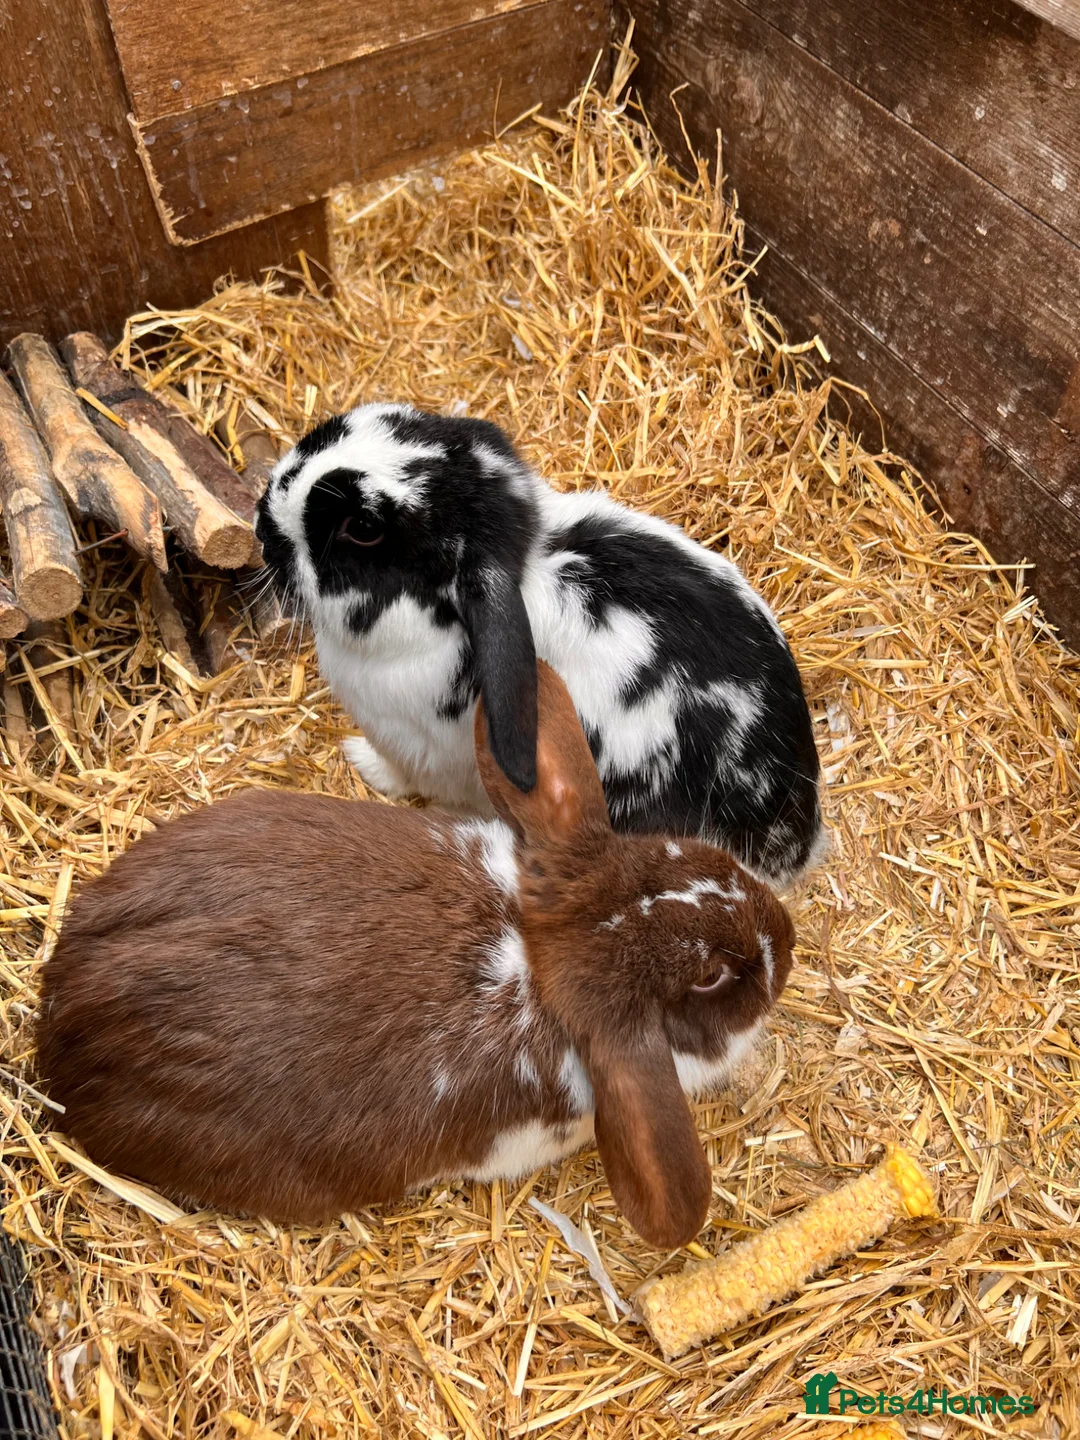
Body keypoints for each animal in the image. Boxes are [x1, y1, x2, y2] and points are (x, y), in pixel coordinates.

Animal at [254, 403, 827, 890]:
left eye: (363, 527)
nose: (262, 526)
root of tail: (792, 848)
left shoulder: (423, 755)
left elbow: (401, 774)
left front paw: (360, 759)